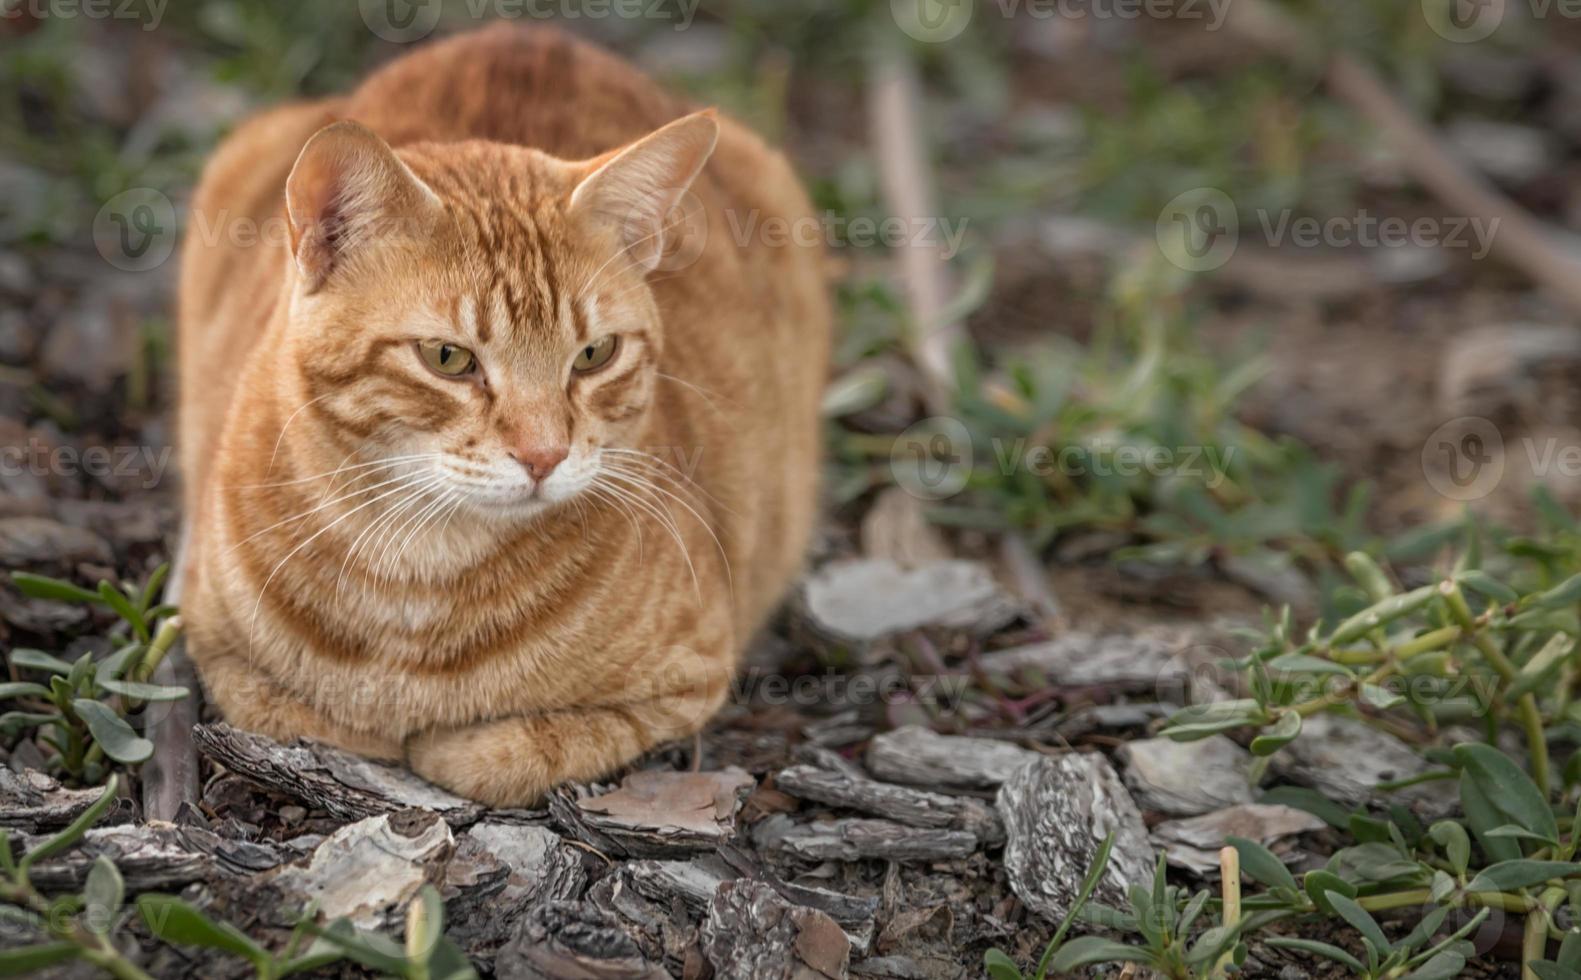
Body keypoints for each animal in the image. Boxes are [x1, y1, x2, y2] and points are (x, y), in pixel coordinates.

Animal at [176, 24, 828, 802]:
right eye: (449, 359)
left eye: (594, 354)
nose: (544, 456)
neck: (413, 572)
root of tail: (525, 31)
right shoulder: (213, 644)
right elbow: (311, 717)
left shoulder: (686, 681)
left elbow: (507, 752)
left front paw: (447, 741)